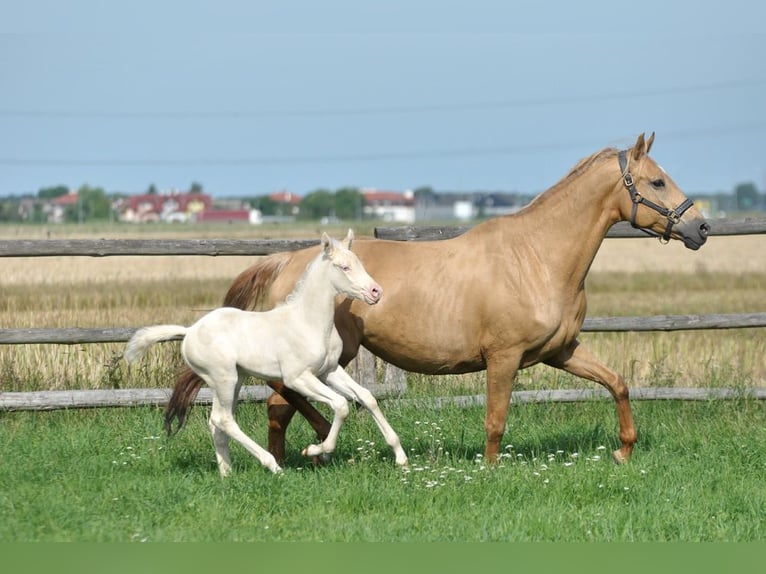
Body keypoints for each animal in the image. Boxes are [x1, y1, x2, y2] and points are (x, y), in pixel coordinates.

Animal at [125, 229, 408, 475]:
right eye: (344, 267)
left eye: (360, 263)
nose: (376, 292)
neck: (309, 321)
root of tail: (189, 331)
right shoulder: (297, 378)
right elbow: (341, 405)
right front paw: (316, 450)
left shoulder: (329, 371)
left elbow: (367, 397)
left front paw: (401, 457)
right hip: (224, 378)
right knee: (224, 419)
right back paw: (272, 465)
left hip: (233, 379)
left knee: (216, 422)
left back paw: (227, 474)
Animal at [166, 132, 710, 466]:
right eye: (657, 180)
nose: (700, 227)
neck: (537, 257)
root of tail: (287, 260)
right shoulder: (504, 357)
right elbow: (495, 420)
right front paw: (490, 471)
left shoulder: (561, 351)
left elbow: (617, 383)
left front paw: (623, 451)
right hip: (323, 356)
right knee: (285, 401)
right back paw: (307, 450)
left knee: (284, 405)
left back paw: (296, 456)